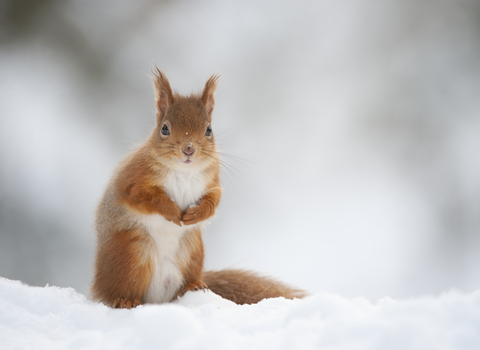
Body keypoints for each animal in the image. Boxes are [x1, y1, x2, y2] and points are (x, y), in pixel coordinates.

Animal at [90, 67, 308, 308]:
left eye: (209, 130)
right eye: (164, 129)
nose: (188, 149)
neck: (184, 171)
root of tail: (158, 300)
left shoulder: (212, 183)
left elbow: (213, 201)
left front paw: (196, 213)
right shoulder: (132, 179)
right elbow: (142, 196)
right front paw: (171, 210)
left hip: (192, 250)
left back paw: (192, 286)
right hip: (132, 251)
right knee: (116, 290)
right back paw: (125, 300)